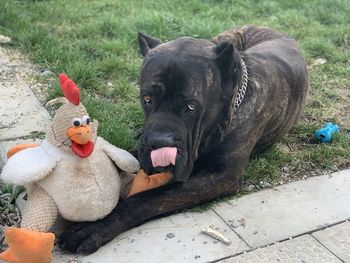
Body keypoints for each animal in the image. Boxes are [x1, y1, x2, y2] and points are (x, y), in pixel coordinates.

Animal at [56, 25, 306, 254]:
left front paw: (94, 227)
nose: (159, 142)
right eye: (147, 98)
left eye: (191, 106)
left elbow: (150, 198)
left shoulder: (221, 176)